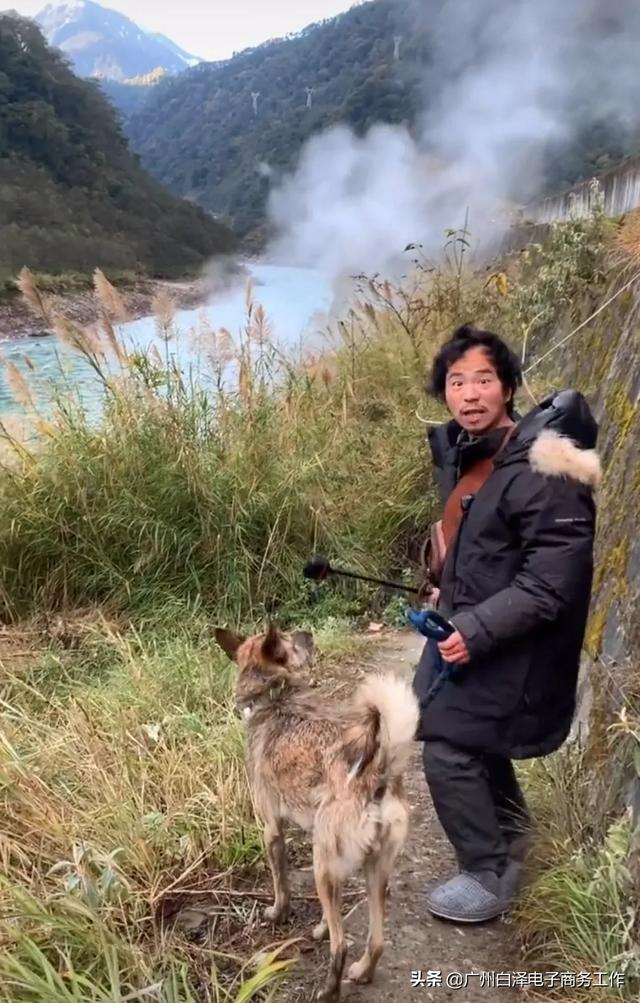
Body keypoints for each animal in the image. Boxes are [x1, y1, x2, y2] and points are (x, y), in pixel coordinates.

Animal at [216, 621, 421, 998]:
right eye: (292, 639)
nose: (308, 633)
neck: (276, 695)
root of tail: (378, 773)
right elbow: (331, 915)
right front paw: (322, 926)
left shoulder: (272, 831)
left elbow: (280, 883)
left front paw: (278, 913)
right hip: (371, 869)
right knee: (377, 941)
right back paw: (363, 971)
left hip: (321, 866)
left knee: (341, 946)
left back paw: (329, 990)